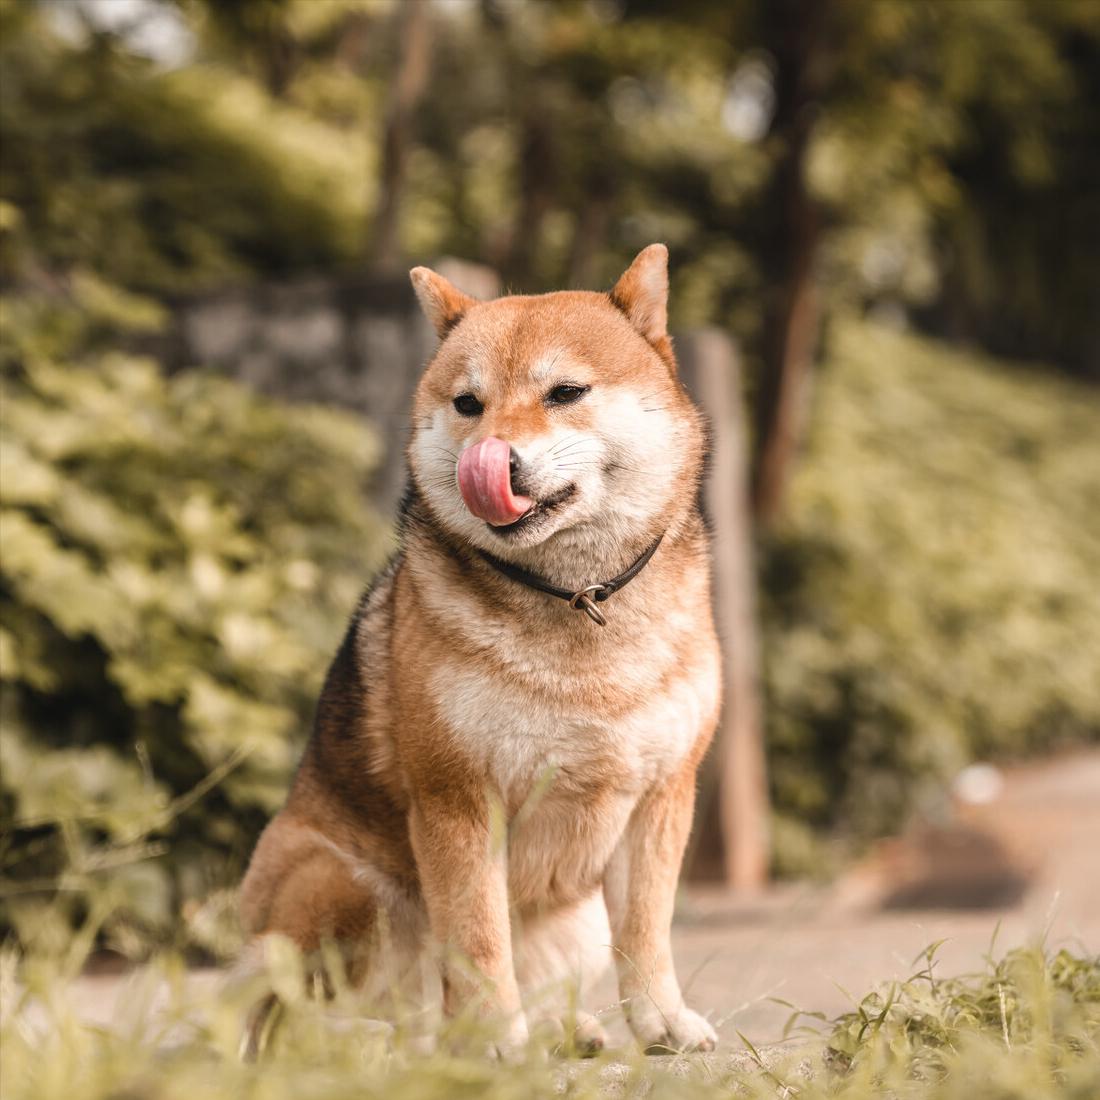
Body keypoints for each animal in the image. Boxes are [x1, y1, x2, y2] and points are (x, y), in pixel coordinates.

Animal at [238, 243, 721, 1056]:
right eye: (468, 404)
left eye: (565, 392)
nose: (495, 457)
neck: (576, 599)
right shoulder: (456, 799)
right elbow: (476, 936)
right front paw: (495, 1039)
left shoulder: (662, 796)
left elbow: (646, 934)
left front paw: (663, 1021)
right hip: (342, 881)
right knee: (291, 1027)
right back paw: (382, 1041)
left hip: (577, 921)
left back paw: (562, 1030)